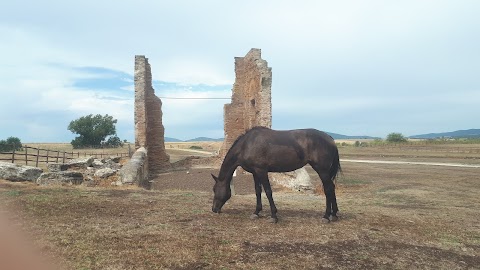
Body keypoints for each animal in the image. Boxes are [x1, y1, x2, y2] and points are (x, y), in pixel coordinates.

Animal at [213, 127, 342, 223]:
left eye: (214, 189)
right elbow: (258, 191)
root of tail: (330, 138)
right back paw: (334, 214)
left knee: (328, 189)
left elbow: (268, 191)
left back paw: (326, 216)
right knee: (332, 188)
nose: (214, 209)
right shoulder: (255, 173)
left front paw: (273, 216)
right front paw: (256, 212)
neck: (247, 145)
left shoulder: (261, 171)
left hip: (322, 170)